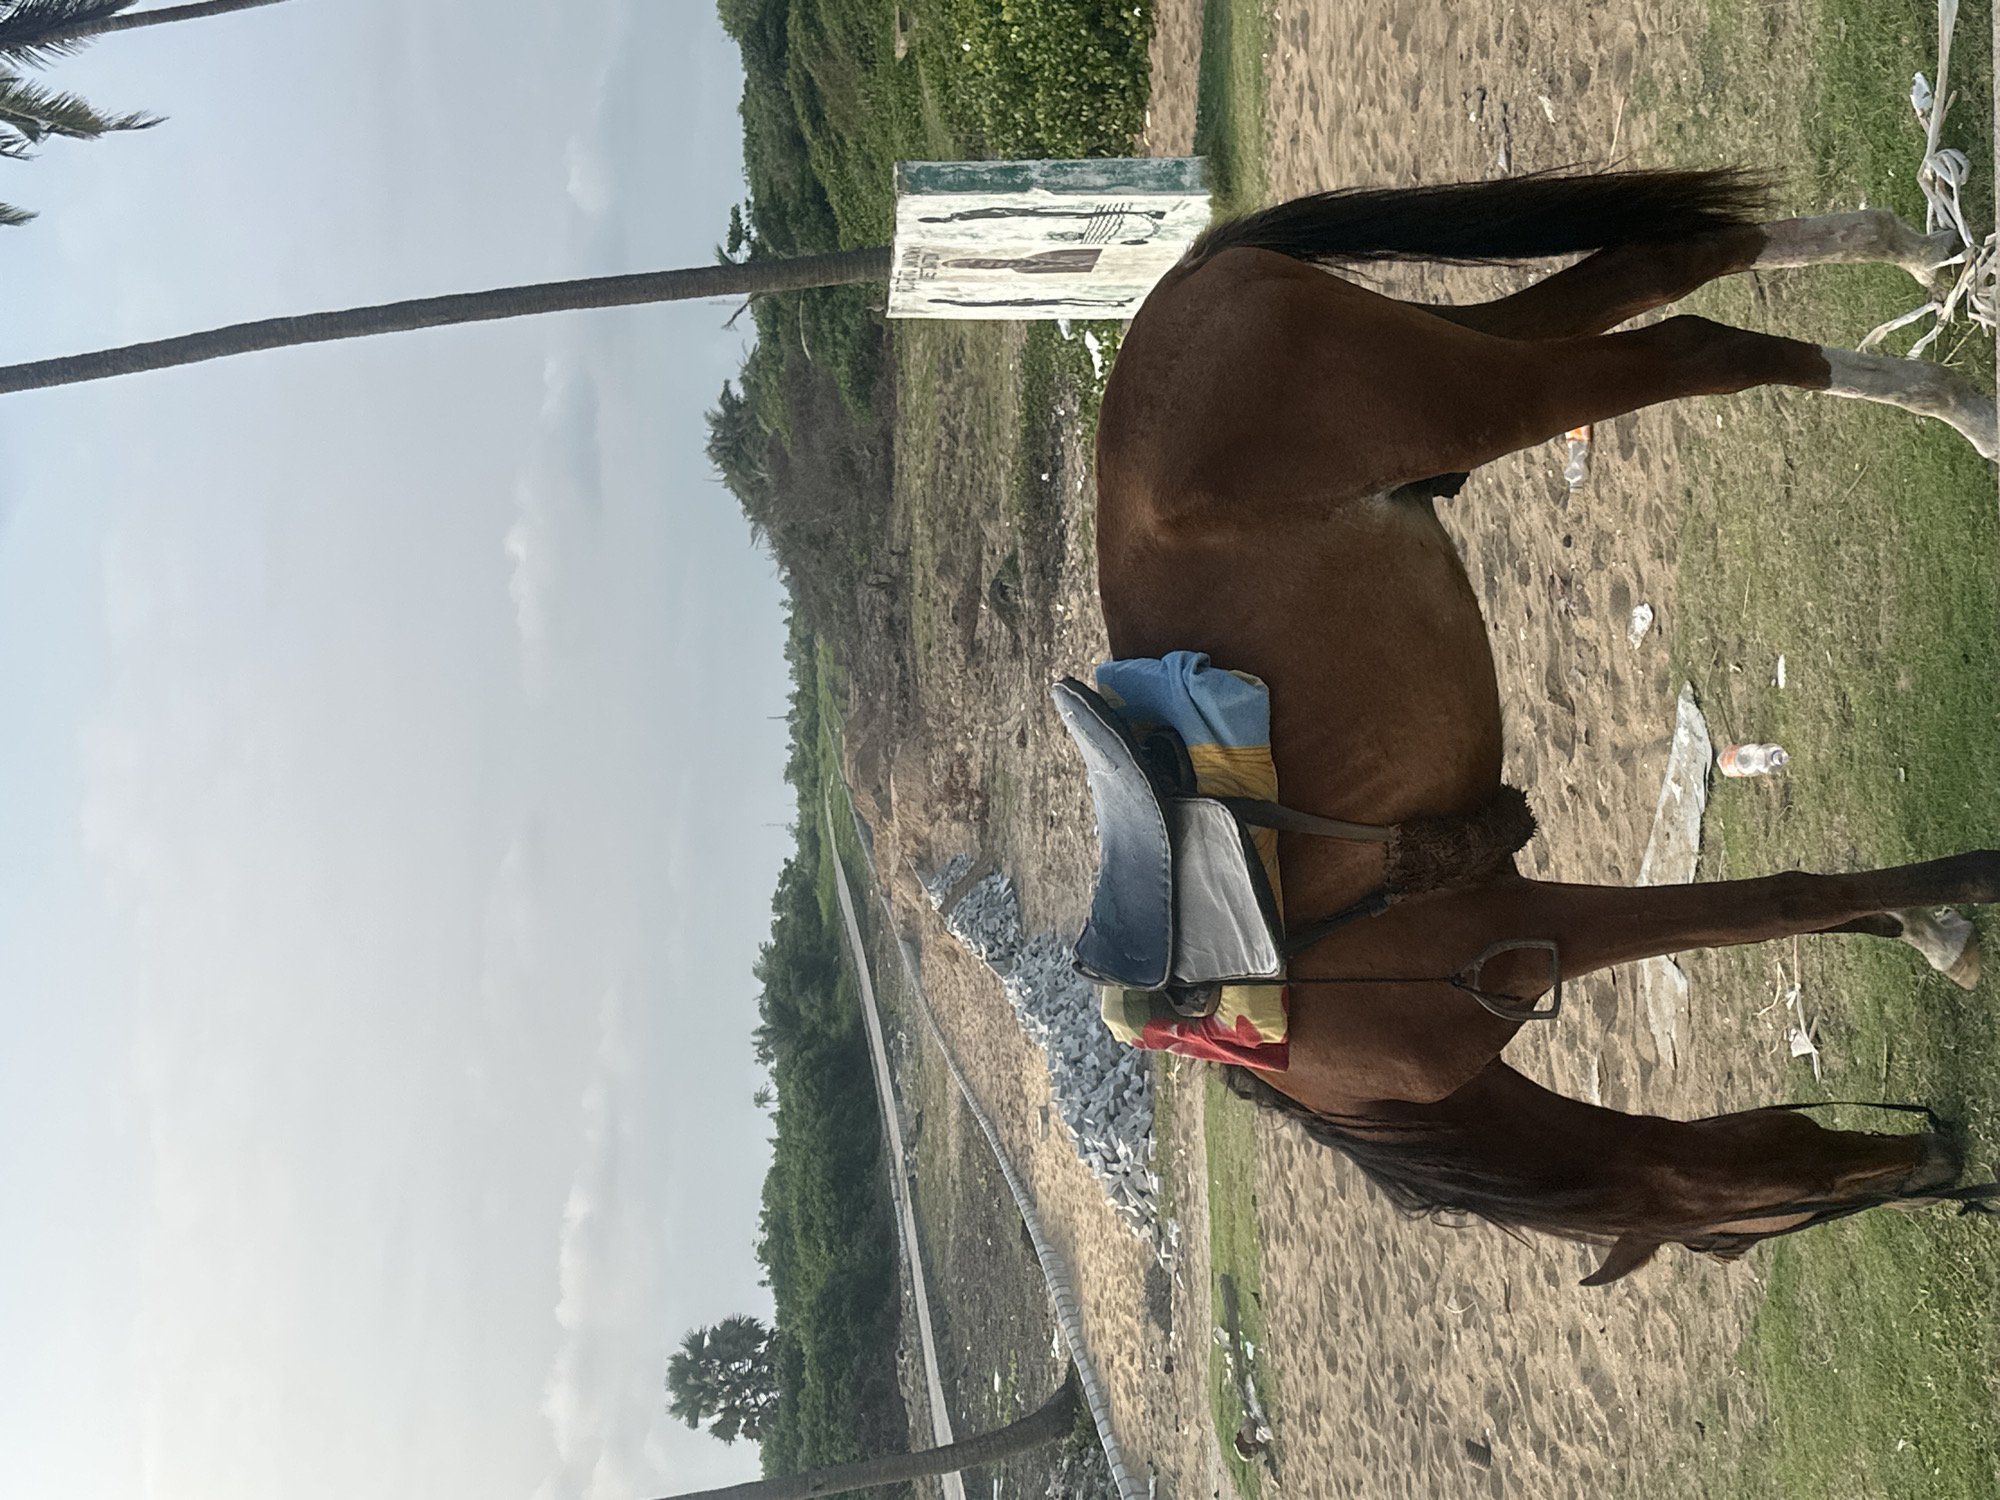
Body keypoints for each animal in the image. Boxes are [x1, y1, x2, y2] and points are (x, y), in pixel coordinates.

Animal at [1090, 168, 2000, 1285]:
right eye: (1734, 1237)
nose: (1937, 1162)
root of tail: (1174, 295)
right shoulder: (1523, 922)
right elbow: (1807, 908)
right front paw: (1936, 930)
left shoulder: (1523, 937)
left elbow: (1773, 904)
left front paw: (1976, 886)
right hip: (1463, 357)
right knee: (1669, 269)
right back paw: (1916, 268)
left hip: (1469, 393)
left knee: (1698, 346)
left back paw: (1969, 407)